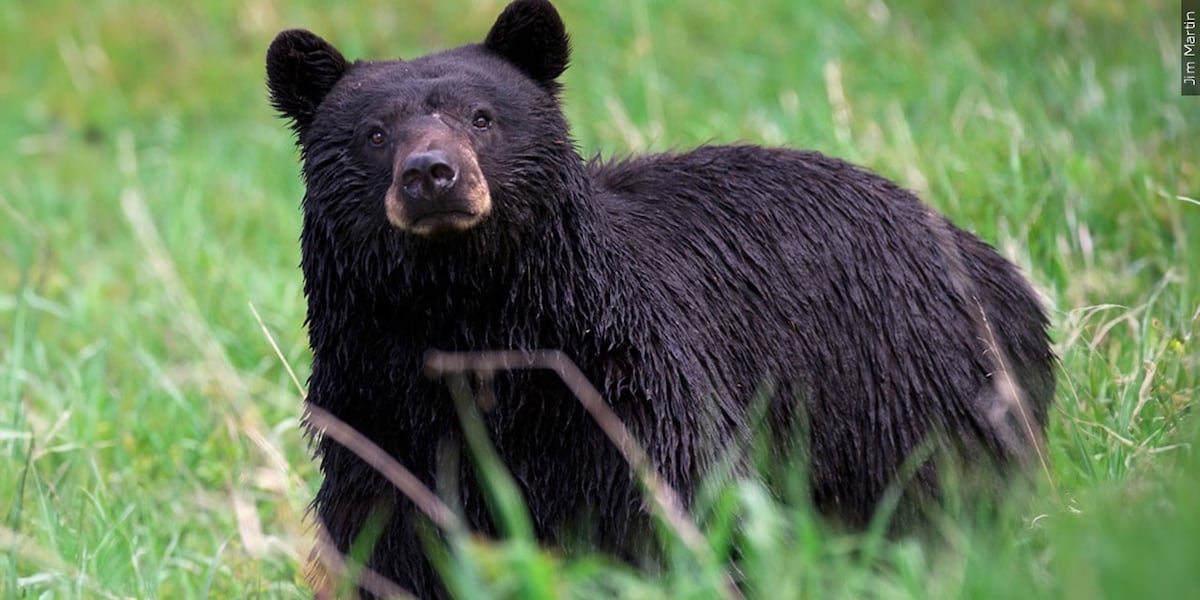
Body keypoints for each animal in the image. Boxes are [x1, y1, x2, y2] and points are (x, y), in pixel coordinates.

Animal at [266, 0, 1055, 597]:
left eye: (483, 118)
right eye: (373, 133)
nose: (432, 174)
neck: (469, 319)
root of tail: (998, 270)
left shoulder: (622, 392)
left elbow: (677, 510)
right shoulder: (377, 413)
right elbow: (392, 543)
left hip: (908, 387)